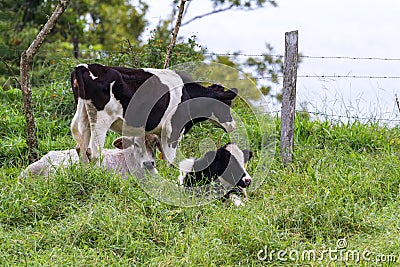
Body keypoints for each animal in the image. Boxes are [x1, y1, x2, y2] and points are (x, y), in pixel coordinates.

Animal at [70, 63, 238, 164]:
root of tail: (83, 67)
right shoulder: (173, 129)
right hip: (101, 119)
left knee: (81, 147)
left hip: (83, 113)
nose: (233, 125)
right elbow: (171, 159)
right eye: (227, 104)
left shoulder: (160, 131)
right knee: (94, 151)